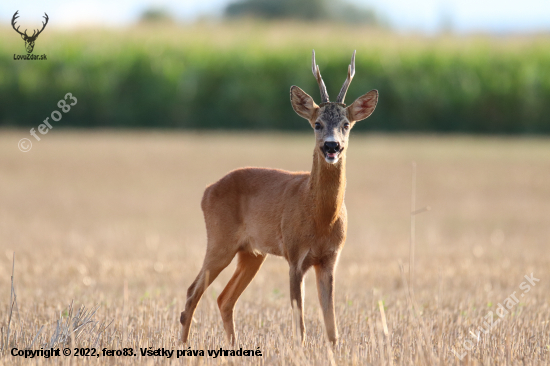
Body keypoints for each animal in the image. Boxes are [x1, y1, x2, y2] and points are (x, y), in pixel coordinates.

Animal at [181, 50, 380, 344]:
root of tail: (207, 190)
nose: (331, 145)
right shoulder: (295, 256)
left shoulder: (329, 260)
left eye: (346, 124)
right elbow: (300, 326)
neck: (321, 218)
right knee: (192, 293)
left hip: (252, 253)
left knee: (224, 298)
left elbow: (332, 327)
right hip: (220, 241)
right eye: (317, 123)